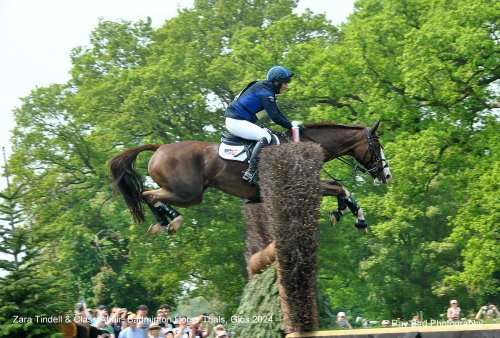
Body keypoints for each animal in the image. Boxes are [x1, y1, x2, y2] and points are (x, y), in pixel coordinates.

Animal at [108, 120, 390, 234]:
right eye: (376, 146)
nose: (386, 175)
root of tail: (159, 148)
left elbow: (339, 188)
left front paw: (341, 212)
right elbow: (340, 188)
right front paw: (358, 219)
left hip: (186, 193)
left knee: (148, 195)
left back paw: (163, 223)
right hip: (188, 193)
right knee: (147, 194)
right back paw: (172, 220)